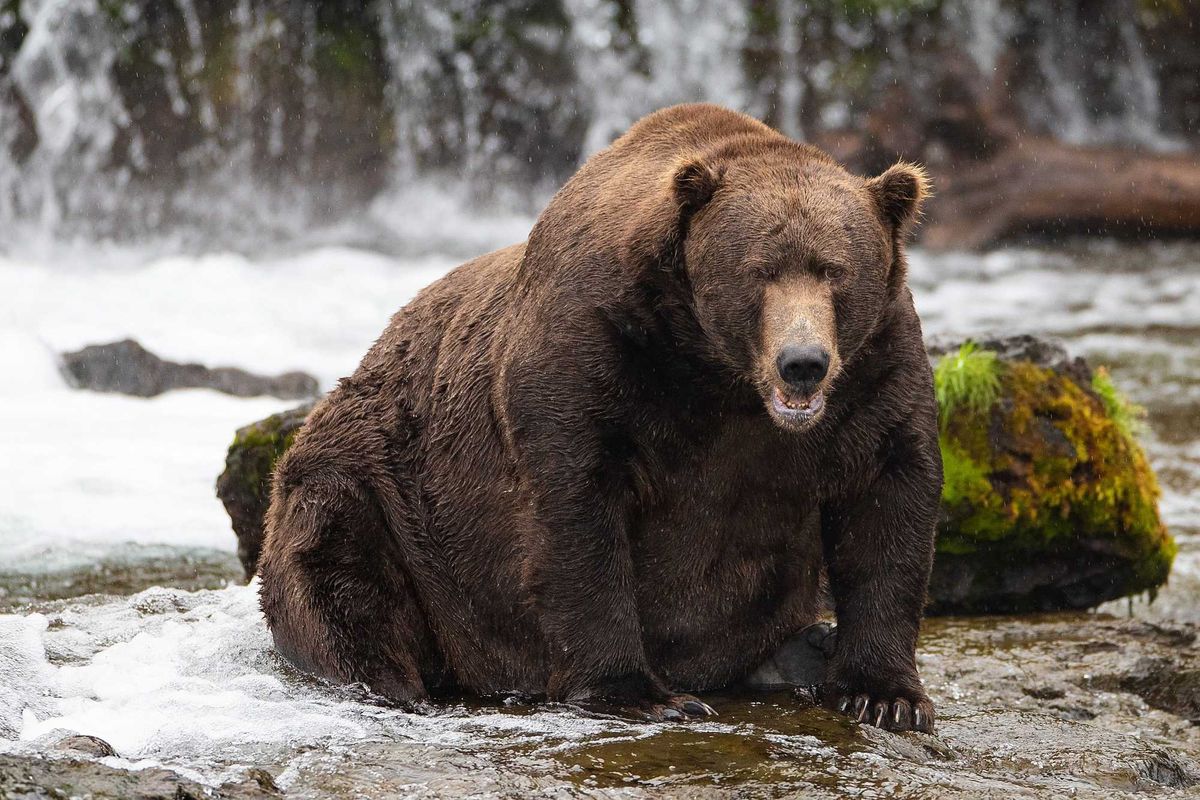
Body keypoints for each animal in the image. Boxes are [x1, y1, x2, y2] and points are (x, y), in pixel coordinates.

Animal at [257, 103, 941, 732]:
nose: (803, 362)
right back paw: (392, 682)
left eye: (835, 272)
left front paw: (885, 695)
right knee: (342, 564)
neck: (717, 372)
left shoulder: (875, 367)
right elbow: (576, 507)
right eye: (761, 271)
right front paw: (639, 690)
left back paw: (803, 647)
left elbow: (889, 498)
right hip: (387, 492)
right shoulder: (597, 347)